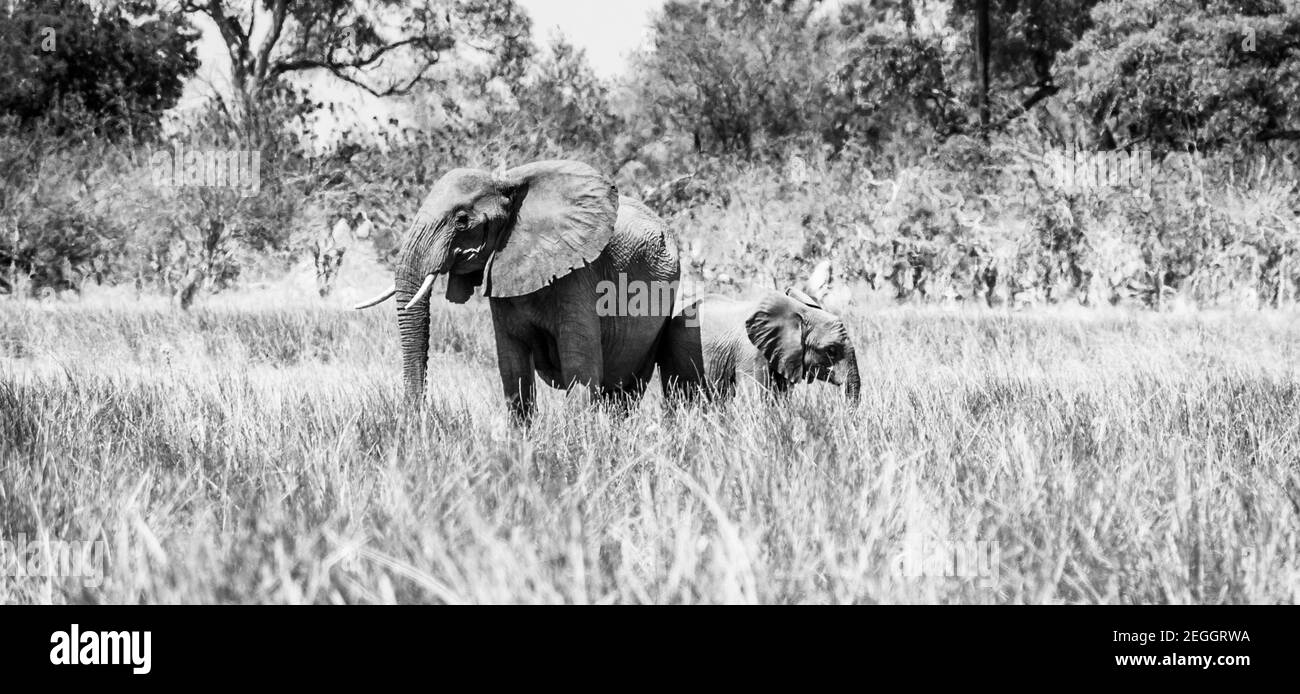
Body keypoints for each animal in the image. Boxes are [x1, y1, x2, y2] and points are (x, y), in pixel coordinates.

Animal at [356, 159, 681, 418]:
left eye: (461, 221)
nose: (416, 419)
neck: (507, 184)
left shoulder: (579, 276)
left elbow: (580, 370)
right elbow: (513, 371)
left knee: (626, 393)